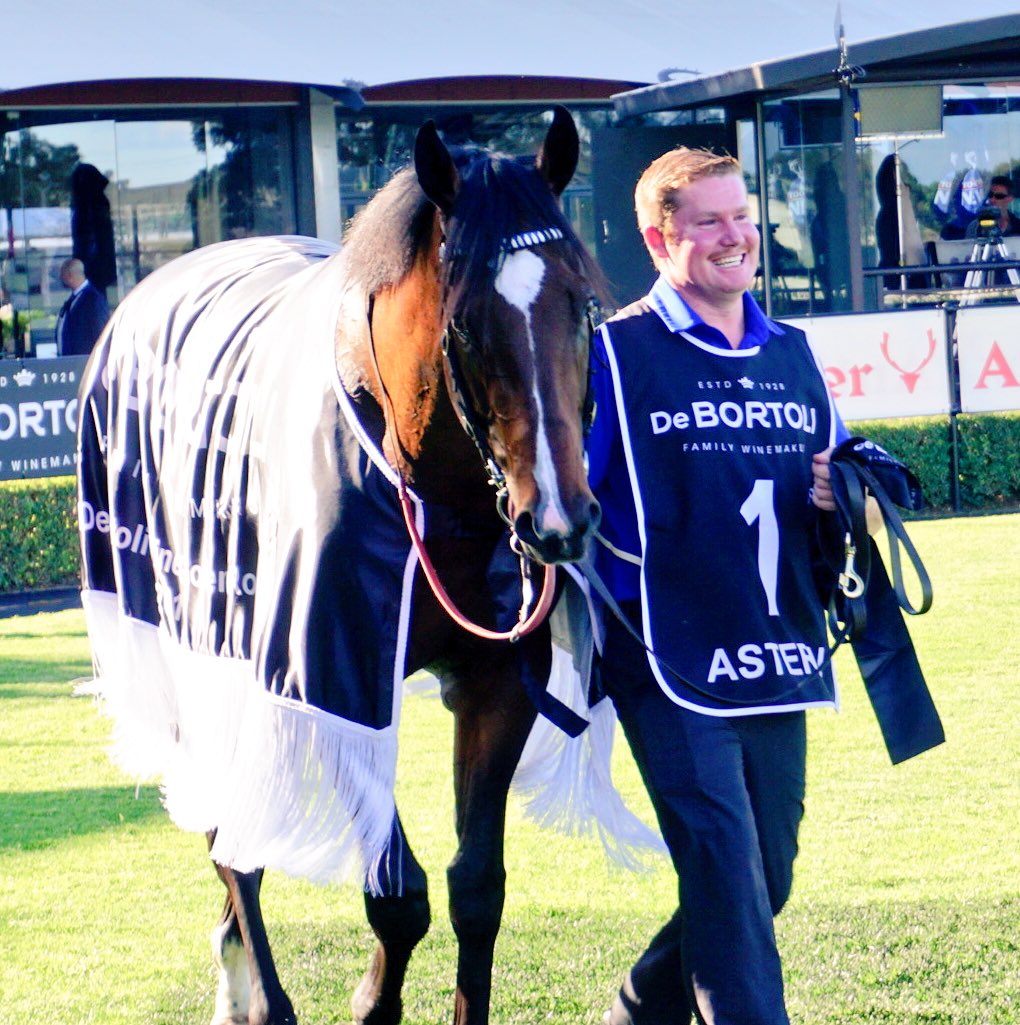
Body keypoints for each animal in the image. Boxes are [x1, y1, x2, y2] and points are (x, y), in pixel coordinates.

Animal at [76, 107, 625, 1025]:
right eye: (465, 325)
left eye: (580, 307)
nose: (558, 520)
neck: (430, 485)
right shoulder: (328, 671)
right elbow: (397, 895)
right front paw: (370, 998)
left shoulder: (497, 680)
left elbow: (476, 887)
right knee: (232, 832)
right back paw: (260, 996)